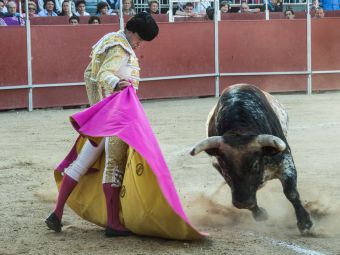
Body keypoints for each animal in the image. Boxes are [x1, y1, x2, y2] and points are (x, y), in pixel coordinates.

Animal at [190, 84, 312, 235]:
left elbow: (291, 192)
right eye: (225, 167)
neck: (239, 130)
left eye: (255, 165)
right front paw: (260, 214)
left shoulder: (285, 158)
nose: (243, 202)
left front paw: (305, 223)